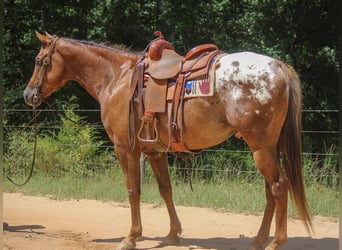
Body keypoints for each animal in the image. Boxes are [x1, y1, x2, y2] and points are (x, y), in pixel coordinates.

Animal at [22, 31, 312, 250]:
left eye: (39, 60)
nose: (28, 94)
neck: (117, 78)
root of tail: (279, 67)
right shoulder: (154, 151)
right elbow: (166, 190)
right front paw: (173, 234)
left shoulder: (125, 148)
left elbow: (133, 190)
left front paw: (131, 237)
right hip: (268, 148)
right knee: (270, 191)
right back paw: (259, 240)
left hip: (261, 148)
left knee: (278, 186)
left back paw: (276, 242)